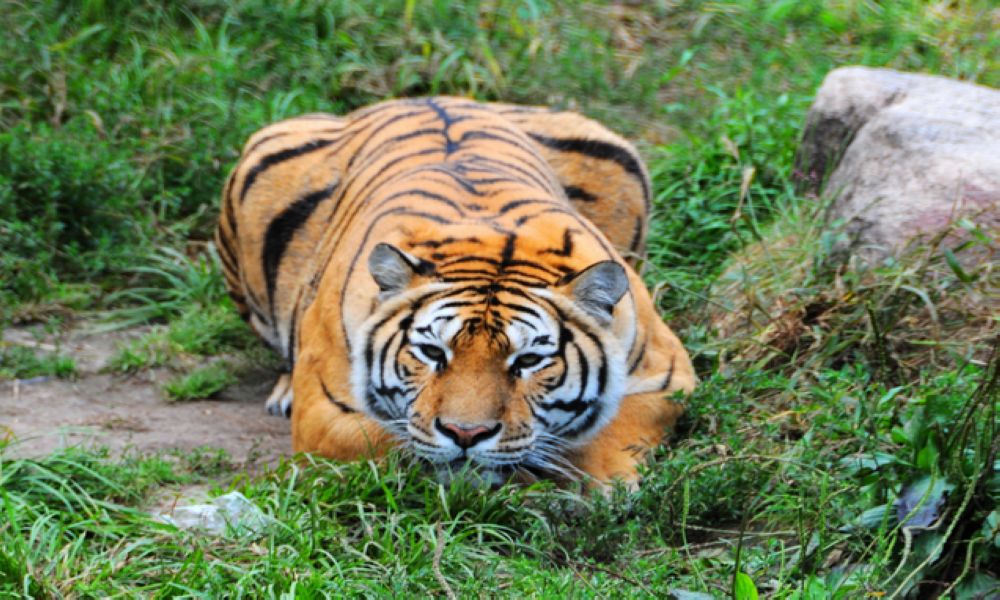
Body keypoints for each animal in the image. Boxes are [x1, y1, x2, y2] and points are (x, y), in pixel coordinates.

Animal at [216, 96, 695, 487]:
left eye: (528, 361)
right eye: (432, 353)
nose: (467, 434)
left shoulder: (666, 374)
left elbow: (616, 428)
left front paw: (604, 484)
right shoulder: (325, 412)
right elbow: (392, 442)